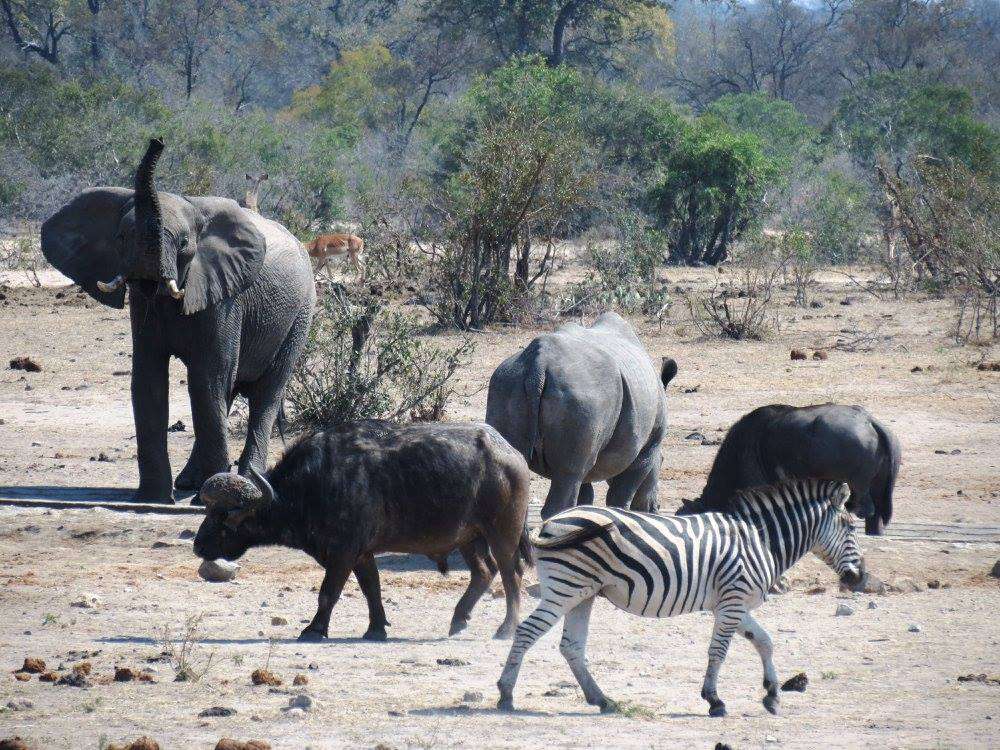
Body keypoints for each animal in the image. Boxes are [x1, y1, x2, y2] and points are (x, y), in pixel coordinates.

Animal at [41, 141, 314, 506]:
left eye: (184, 243)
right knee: (228, 394)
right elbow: (148, 378)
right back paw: (190, 482)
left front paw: (208, 499)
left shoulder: (225, 297)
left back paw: (242, 482)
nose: (156, 142)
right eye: (121, 237)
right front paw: (153, 499)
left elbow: (208, 377)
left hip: (301, 315)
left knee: (264, 395)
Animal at [192, 420, 532, 644]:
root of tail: (512, 453)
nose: (198, 546)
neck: (313, 484)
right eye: (209, 511)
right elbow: (372, 589)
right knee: (484, 572)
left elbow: (328, 593)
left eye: (224, 517)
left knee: (511, 575)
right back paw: (459, 620)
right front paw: (376, 628)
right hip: (469, 538)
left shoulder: (343, 553)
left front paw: (314, 630)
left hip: (502, 534)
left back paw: (506, 629)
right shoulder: (362, 554)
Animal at [482, 312, 672, 524]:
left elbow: (586, 496)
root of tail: (537, 365)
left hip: (506, 384)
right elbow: (621, 496)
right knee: (568, 475)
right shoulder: (647, 449)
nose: (656, 508)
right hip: (582, 395)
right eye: (662, 461)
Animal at [496, 478, 864, 720]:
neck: (760, 540)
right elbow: (719, 651)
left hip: (582, 593)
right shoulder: (732, 601)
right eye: (850, 527)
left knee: (571, 646)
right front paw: (714, 700)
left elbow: (765, 641)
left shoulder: (734, 603)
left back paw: (601, 699)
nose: (859, 579)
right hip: (565, 588)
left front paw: (772, 695)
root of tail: (547, 523)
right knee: (527, 632)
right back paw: (506, 693)